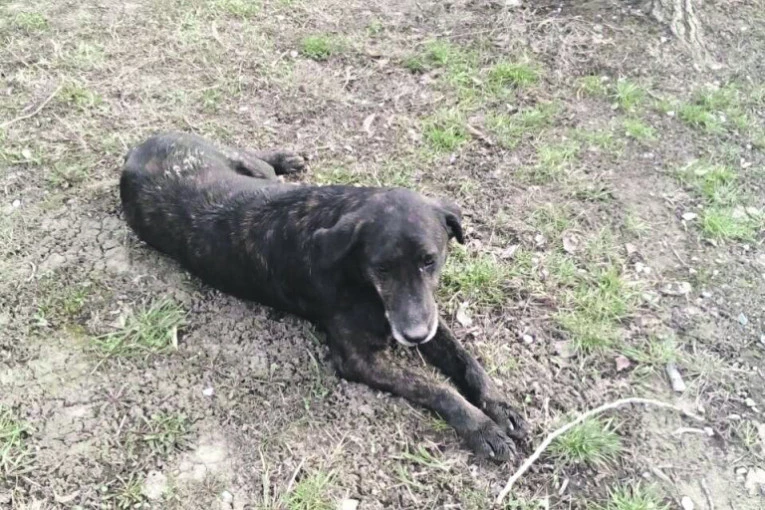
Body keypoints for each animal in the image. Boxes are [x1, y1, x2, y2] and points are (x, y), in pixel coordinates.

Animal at [120, 132, 528, 460]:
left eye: (430, 260)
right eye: (382, 269)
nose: (413, 336)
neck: (355, 272)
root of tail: (137, 149)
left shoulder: (426, 315)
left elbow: (466, 360)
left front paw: (499, 405)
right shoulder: (360, 359)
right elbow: (437, 388)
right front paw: (481, 428)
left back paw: (286, 158)